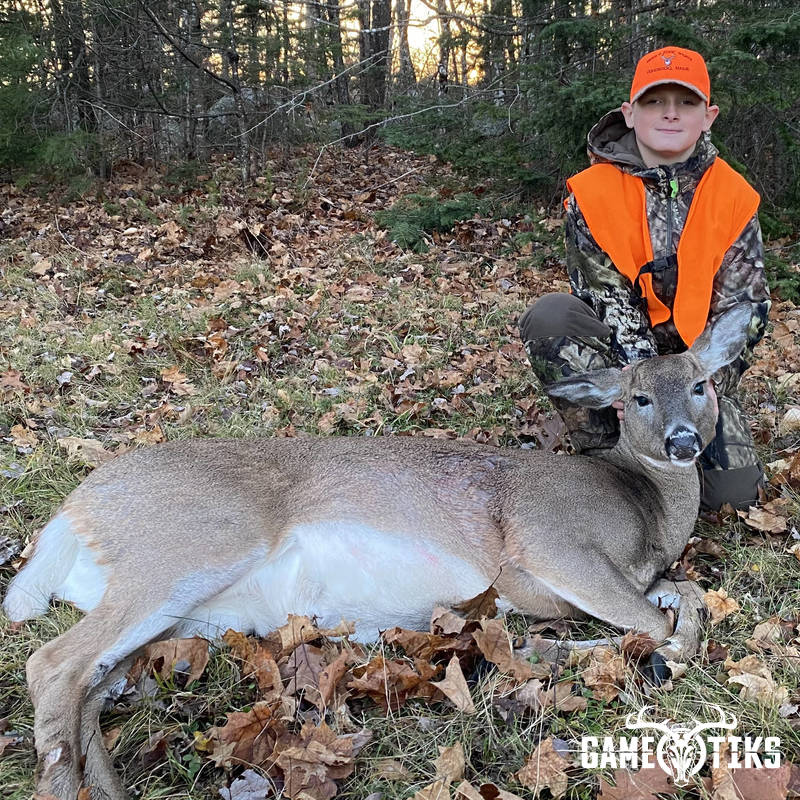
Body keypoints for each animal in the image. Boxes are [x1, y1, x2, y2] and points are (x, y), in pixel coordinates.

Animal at [3, 304, 751, 800]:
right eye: (638, 398)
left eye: (701, 384)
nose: (685, 441)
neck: (643, 509)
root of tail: (71, 510)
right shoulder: (545, 542)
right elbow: (652, 622)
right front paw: (623, 655)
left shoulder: (626, 573)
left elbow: (679, 596)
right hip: (187, 546)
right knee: (51, 664)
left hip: (173, 609)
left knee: (88, 686)